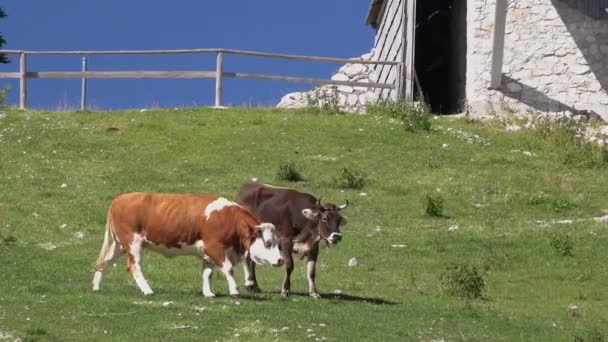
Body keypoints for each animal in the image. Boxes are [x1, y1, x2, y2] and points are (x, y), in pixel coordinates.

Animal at [91, 192, 284, 296]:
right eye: (268, 243)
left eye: (278, 243)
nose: (281, 260)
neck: (229, 218)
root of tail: (120, 198)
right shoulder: (214, 247)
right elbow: (228, 268)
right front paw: (234, 290)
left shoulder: (207, 252)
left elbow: (207, 273)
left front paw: (208, 293)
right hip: (133, 243)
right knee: (134, 266)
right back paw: (147, 290)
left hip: (120, 244)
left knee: (104, 261)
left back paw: (96, 286)